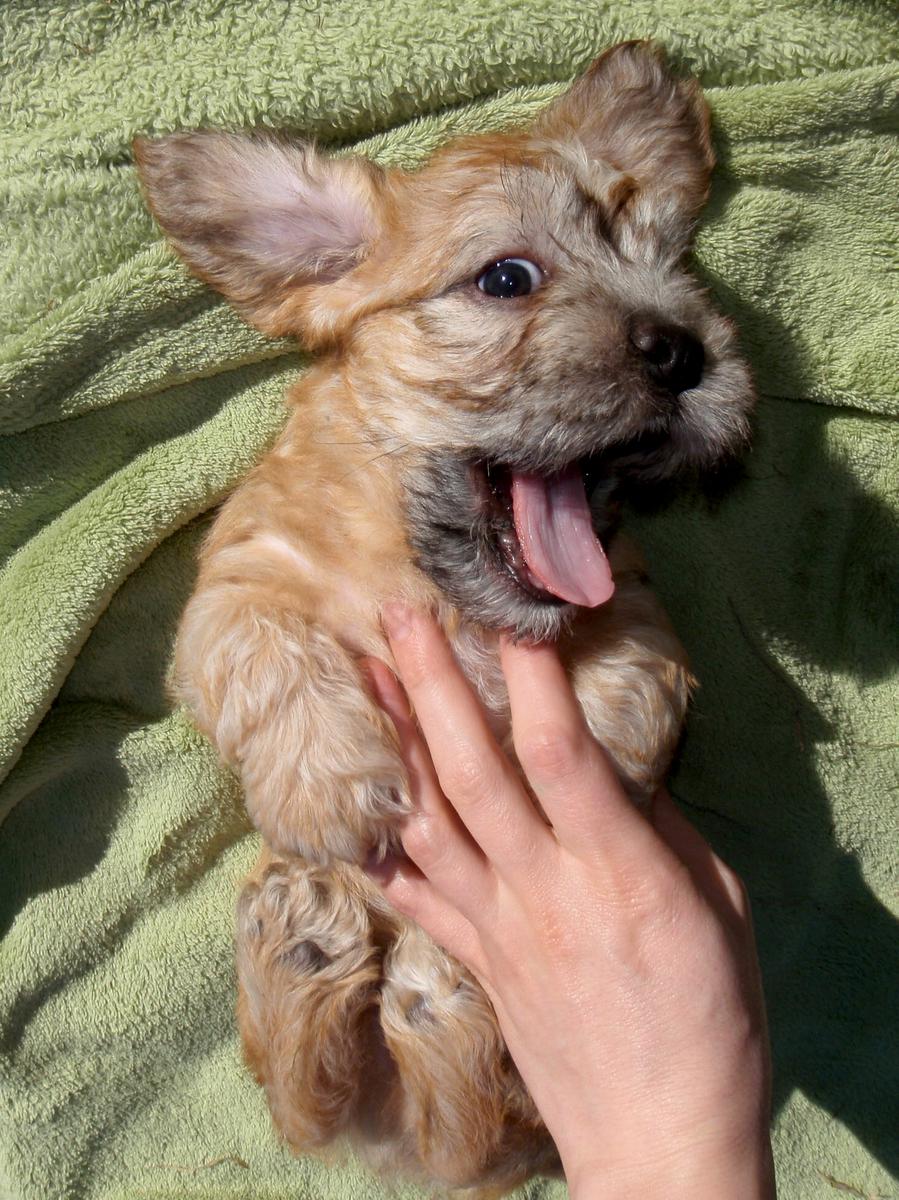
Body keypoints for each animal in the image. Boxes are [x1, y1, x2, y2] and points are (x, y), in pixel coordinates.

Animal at [135, 41, 753, 1194]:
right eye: (506, 277)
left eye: (670, 264)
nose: (683, 352)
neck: (435, 587)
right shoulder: (236, 585)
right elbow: (266, 646)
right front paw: (329, 780)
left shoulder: (634, 606)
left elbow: (630, 688)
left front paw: (579, 781)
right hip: (339, 1087)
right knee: (312, 1104)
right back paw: (305, 946)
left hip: (503, 1115)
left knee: (459, 1117)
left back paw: (432, 987)